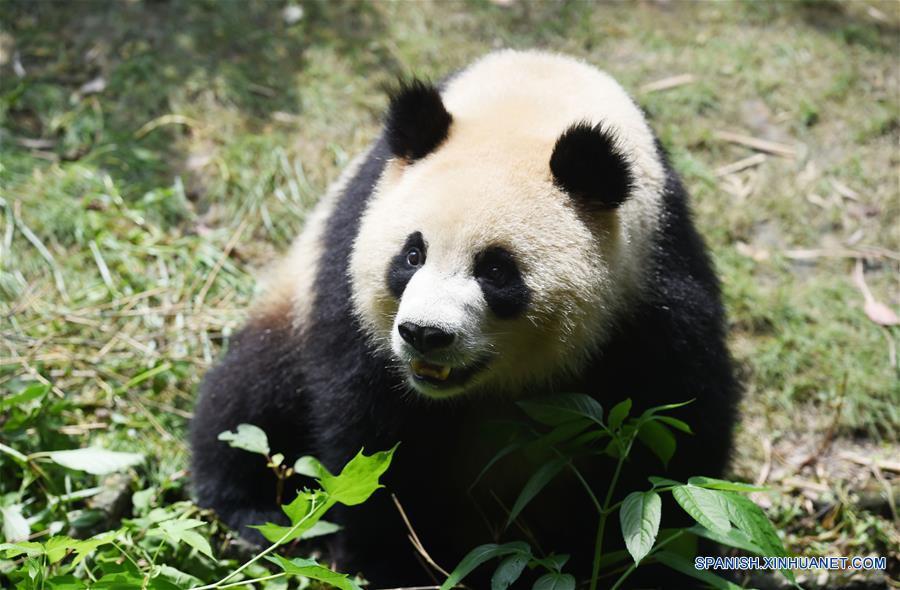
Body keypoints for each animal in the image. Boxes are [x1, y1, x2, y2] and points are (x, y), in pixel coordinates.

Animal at [191, 49, 739, 587]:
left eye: (496, 270)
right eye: (412, 255)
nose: (424, 335)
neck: (529, 107)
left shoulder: (651, 283)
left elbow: (672, 440)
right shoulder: (350, 262)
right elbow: (371, 429)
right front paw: (391, 561)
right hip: (292, 303)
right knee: (250, 400)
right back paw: (251, 514)